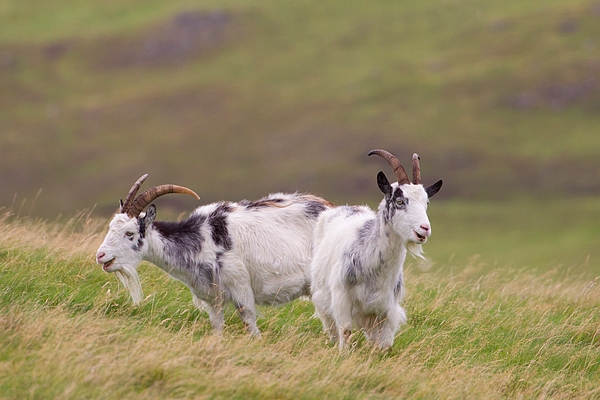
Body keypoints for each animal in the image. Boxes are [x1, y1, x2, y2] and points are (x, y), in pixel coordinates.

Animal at [96, 177, 336, 336]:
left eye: (130, 233)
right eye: (110, 227)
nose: (100, 256)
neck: (202, 239)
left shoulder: (240, 286)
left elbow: (249, 322)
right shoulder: (212, 298)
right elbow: (217, 326)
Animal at [310, 150, 440, 350]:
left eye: (426, 202)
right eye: (399, 201)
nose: (424, 228)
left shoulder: (387, 309)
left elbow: (384, 343)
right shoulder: (341, 299)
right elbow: (345, 331)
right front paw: (343, 353)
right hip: (322, 297)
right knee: (331, 326)